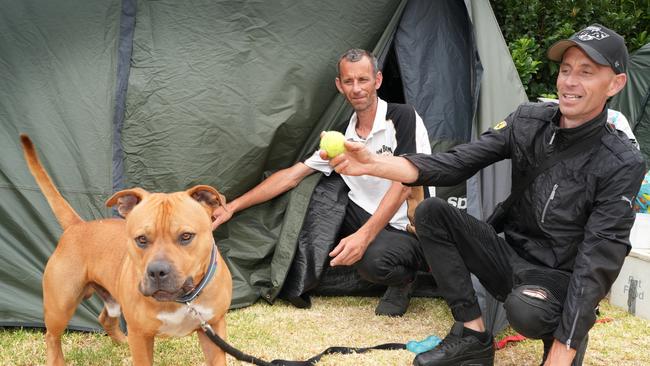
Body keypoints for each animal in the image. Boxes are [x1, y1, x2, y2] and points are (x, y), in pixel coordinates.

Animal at [20, 135, 232, 366]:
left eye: (186, 236)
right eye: (141, 239)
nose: (157, 271)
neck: (184, 300)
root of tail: (77, 226)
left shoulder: (214, 329)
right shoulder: (140, 335)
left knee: (105, 319)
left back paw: (122, 342)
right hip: (60, 305)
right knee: (52, 336)